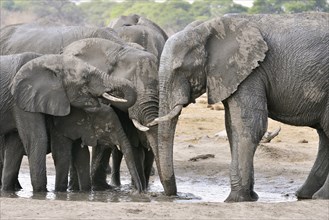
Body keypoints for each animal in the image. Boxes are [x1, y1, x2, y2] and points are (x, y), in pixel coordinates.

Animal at [0, 51, 136, 191]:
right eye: (85, 77)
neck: (47, 61)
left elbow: (15, 144)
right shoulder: (21, 100)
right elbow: (38, 139)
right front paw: (43, 192)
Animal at [148, 12, 328, 202]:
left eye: (178, 68)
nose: (176, 195)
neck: (206, 28)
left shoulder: (252, 71)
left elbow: (248, 126)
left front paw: (235, 199)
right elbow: (231, 127)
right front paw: (251, 197)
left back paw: (318, 196)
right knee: (325, 136)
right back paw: (306, 195)